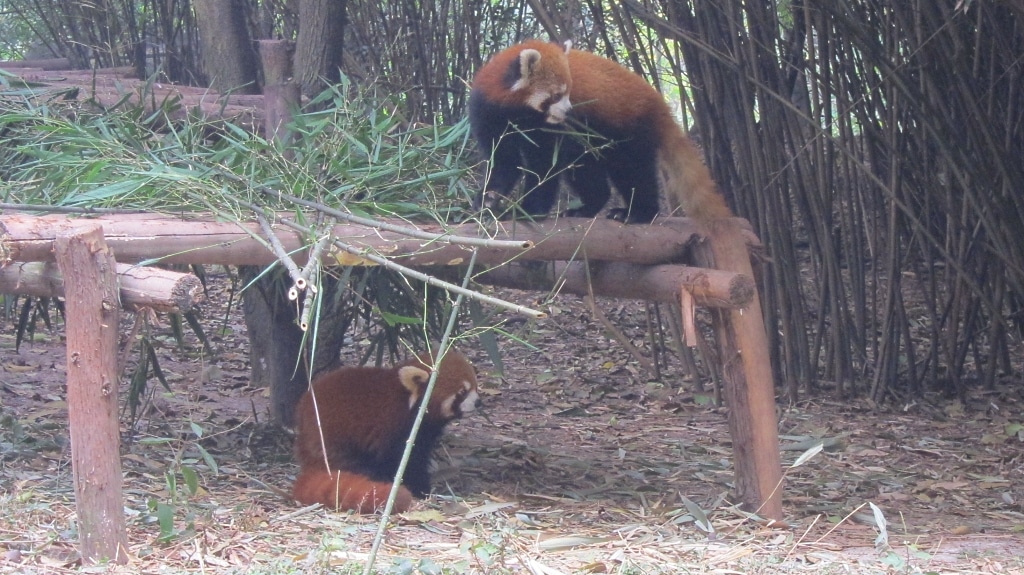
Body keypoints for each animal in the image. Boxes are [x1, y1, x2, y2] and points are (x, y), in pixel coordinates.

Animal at [288, 343, 479, 509]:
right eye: (462, 392)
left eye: (475, 386)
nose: (479, 402)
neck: (409, 402)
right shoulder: (396, 430)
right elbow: (404, 461)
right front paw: (420, 488)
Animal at [468, 39, 733, 223]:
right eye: (556, 95)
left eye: (568, 91)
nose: (569, 110)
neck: (517, 114)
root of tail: (657, 101)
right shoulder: (489, 116)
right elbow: (504, 162)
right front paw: (487, 199)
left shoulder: (548, 128)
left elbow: (544, 166)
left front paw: (530, 211)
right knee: (586, 171)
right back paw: (587, 208)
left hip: (629, 127)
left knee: (632, 170)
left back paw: (637, 213)